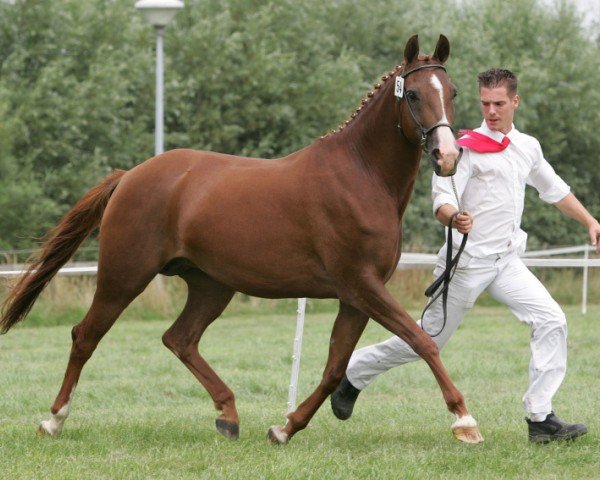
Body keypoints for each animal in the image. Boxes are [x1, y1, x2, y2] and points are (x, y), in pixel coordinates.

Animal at [1, 35, 482, 444]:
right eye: (414, 94)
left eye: (453, 91)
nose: (447, 157)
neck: (361, 176)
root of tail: (131, 175)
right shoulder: (362, 286)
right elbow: (421, 341)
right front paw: (464, 420)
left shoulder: (355, 296)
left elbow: (333, 369)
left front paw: (285, 428)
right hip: (124, 275)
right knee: (86, 335)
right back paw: (53, 420)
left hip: (211, 285)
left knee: (180, 339)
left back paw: (228, 416)